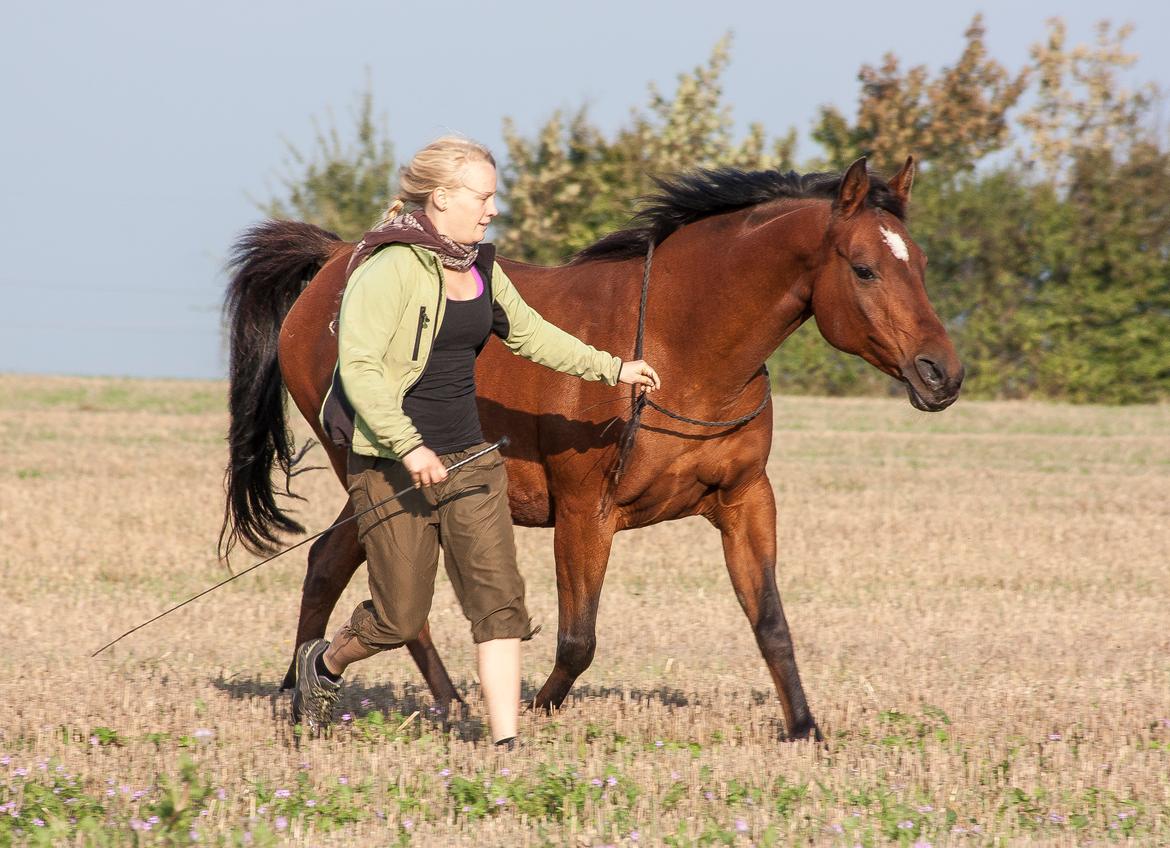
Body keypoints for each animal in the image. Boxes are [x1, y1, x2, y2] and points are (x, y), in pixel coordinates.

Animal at [223, 159, 964, 739]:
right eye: (864, 268)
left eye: (922, 264)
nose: (941, 373)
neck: (681, 345)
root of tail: (331, 265)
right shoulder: (585, 511)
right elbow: (578, 640)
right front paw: (535, 710)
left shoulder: (746, 499)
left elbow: (770, 621)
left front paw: (805, 729)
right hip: (383, 480)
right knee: (373, 586)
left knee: (331, 566)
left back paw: (331, 693)